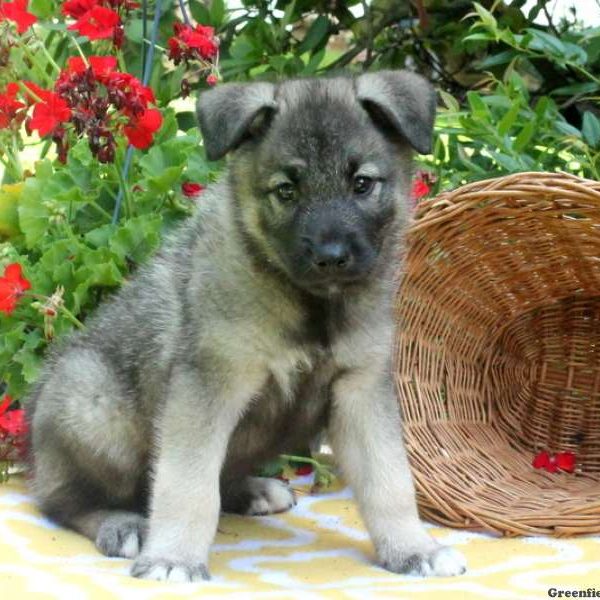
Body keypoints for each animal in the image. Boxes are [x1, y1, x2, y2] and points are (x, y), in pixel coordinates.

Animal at [25, 70, 468, 580]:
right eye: (286, 191)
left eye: (361, 183)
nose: (331, 257)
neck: (308, 303)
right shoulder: (210, 385)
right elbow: (186, 485)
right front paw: (174, 557)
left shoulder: (359, 387)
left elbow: (390, 480)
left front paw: (414, 548)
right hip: (94, 407)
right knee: (62, 501)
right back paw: (122, 524)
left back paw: (252, 489)